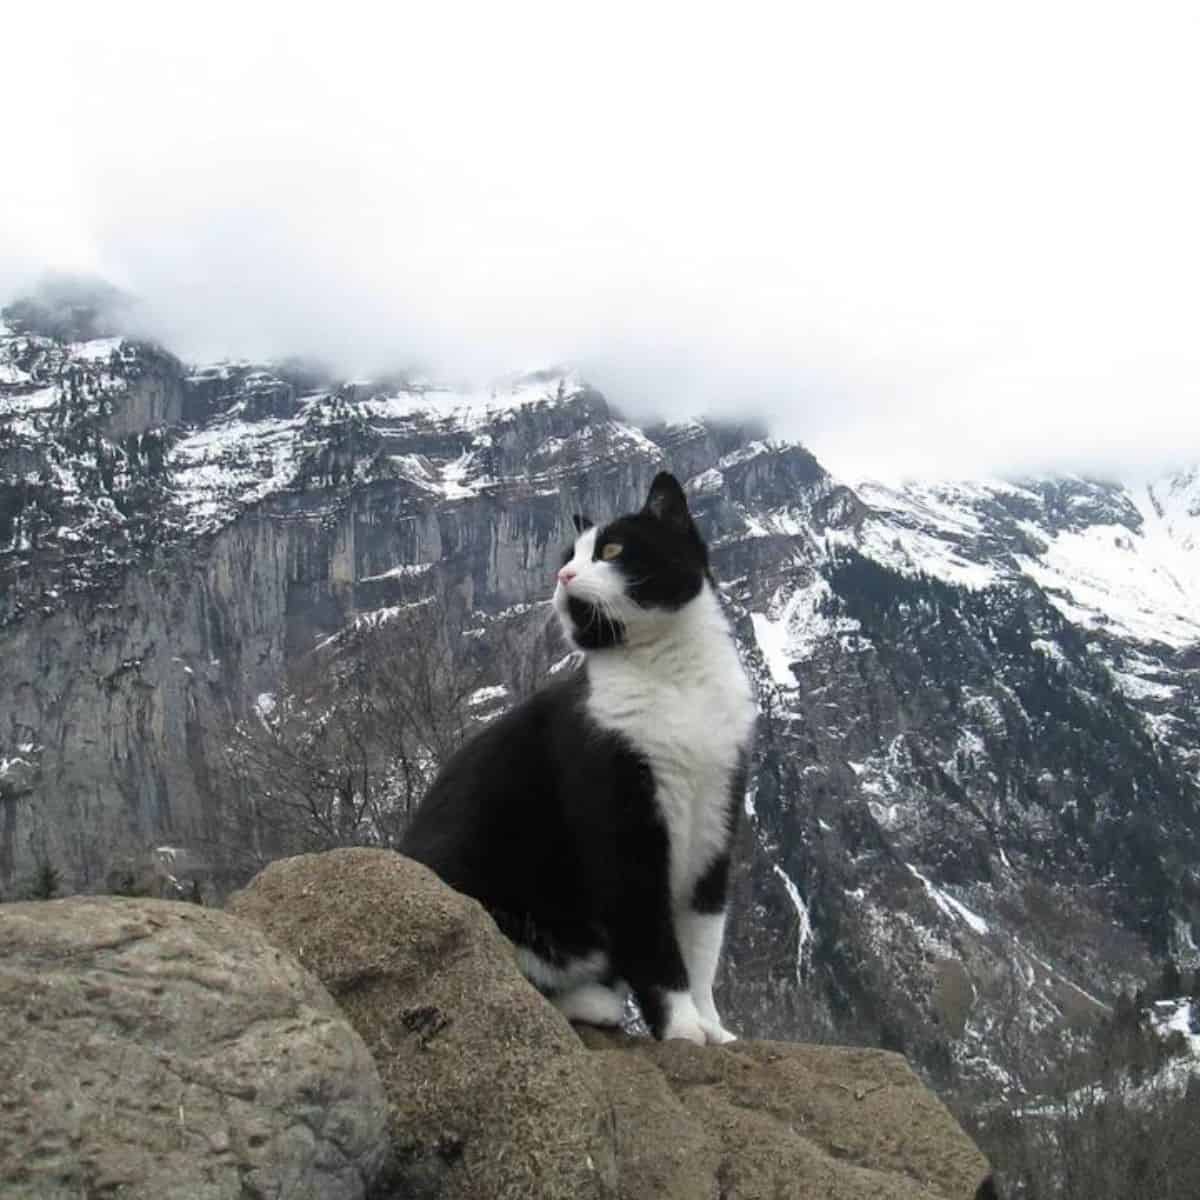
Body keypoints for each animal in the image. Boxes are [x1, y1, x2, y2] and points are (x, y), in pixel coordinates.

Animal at [403, 468, 758, 1041]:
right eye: (568, 554)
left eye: (611, 549)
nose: (563, 574)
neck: (673, 677)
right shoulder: (620, 820)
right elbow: (652, 941)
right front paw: (682, 1028)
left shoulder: (717, 816)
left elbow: (703, 942)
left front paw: (712, 1027)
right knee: (494, 972)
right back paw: (593, 1001)